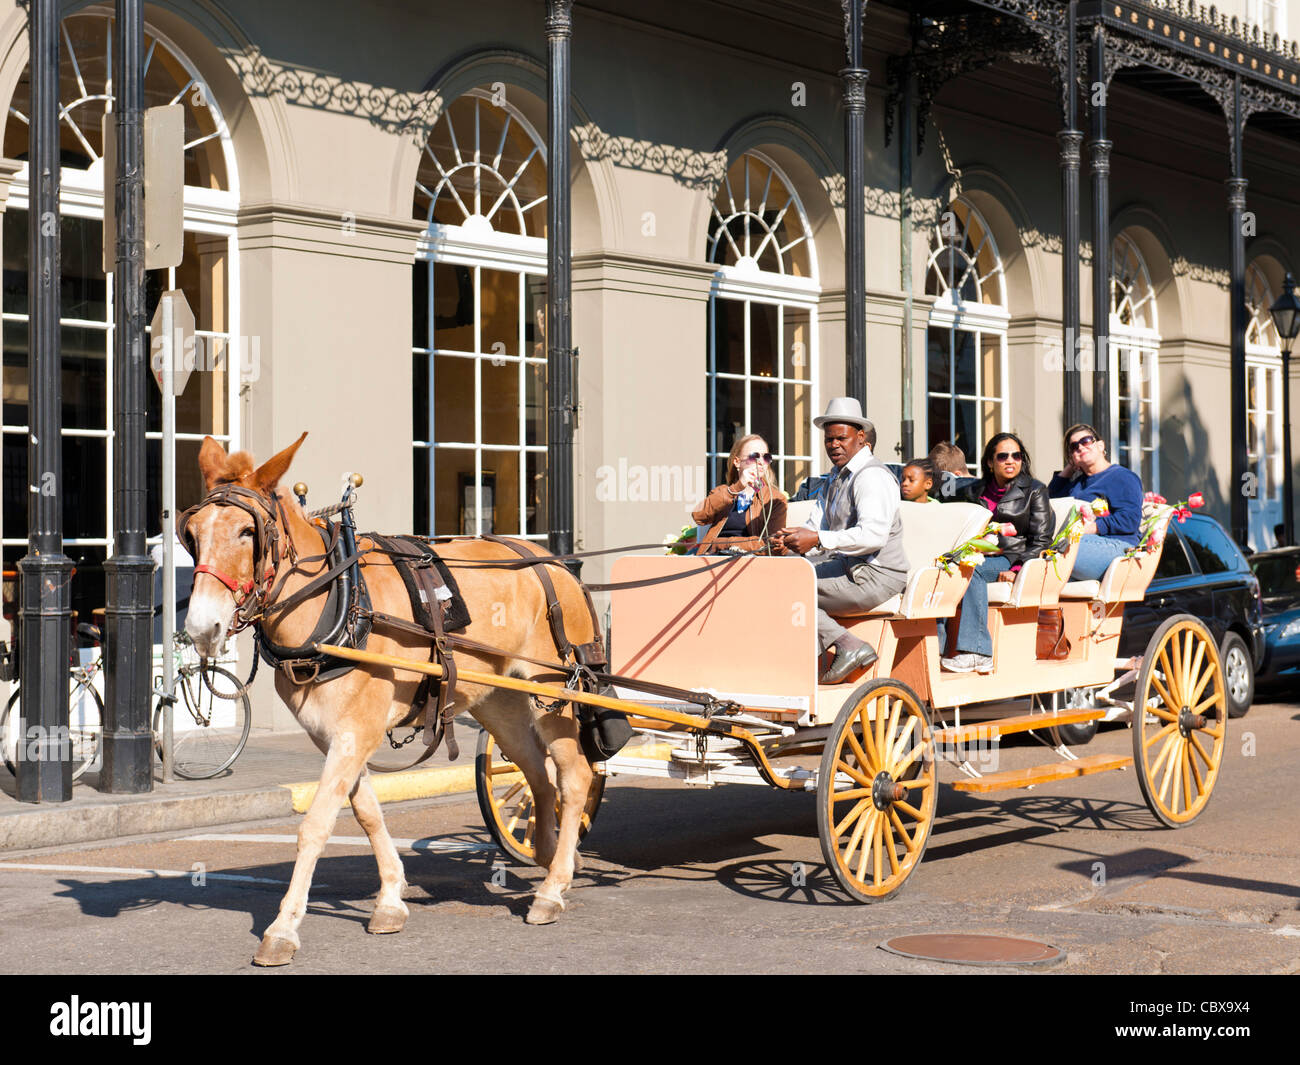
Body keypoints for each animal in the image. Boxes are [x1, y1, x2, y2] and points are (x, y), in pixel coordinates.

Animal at [184, 434, 598, 967]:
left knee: (574, 776)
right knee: (537, 774)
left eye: (245, 532)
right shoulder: (333, 735)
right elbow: (366, 811)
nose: (201, 628)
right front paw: (390, 899)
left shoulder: (354, 731)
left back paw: (552, 887)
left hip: (555, 690)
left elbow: (317, 824)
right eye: (192, 532)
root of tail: (555, 563)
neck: (338, 601)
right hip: (498, 700)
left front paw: (283, 928)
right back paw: (550, 858)